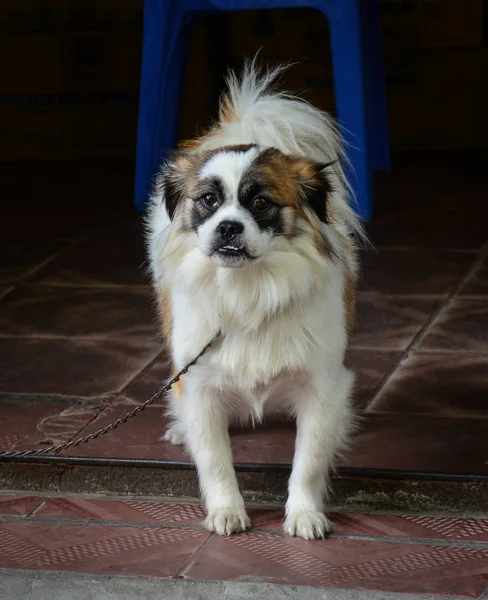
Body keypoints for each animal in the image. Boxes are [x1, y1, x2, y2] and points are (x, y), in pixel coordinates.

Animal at [147, 62, 364, 544]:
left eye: (261, 202)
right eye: (208, 200)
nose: (228, 227)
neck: (247, 291)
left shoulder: (322, 385)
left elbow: (309, 461)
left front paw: (304, 514)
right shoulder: (200, 384)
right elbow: (214, 460)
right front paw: (226, 511)